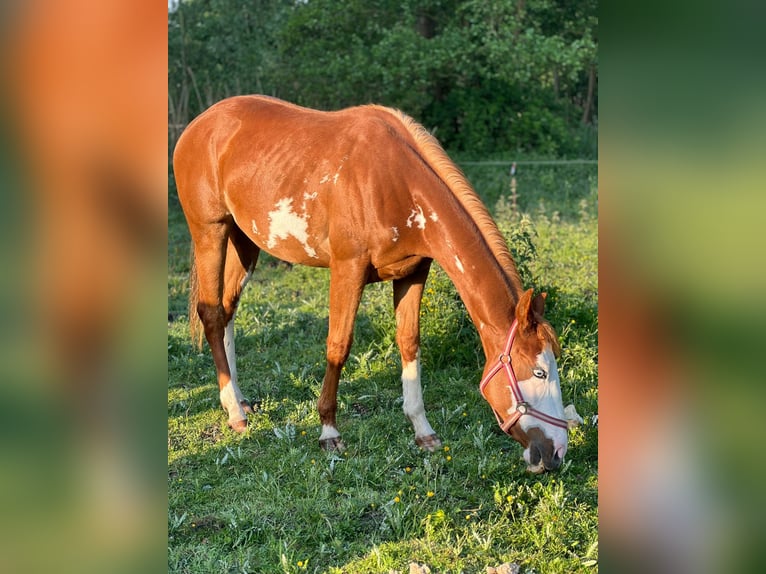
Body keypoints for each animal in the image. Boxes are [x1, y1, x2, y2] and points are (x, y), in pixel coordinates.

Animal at [173, 95, 578, 472]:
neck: (396, 182)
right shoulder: (347, 268)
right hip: (210, 232)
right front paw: (329, 432)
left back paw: (238, 399)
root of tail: (199, 124)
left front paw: (423, 431)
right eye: (539, 372)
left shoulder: (414, 272)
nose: (556, 453)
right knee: (212, 314)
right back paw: (234, 412)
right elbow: (338, 345)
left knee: (228, 310)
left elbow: (409, 343)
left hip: (244, 242)